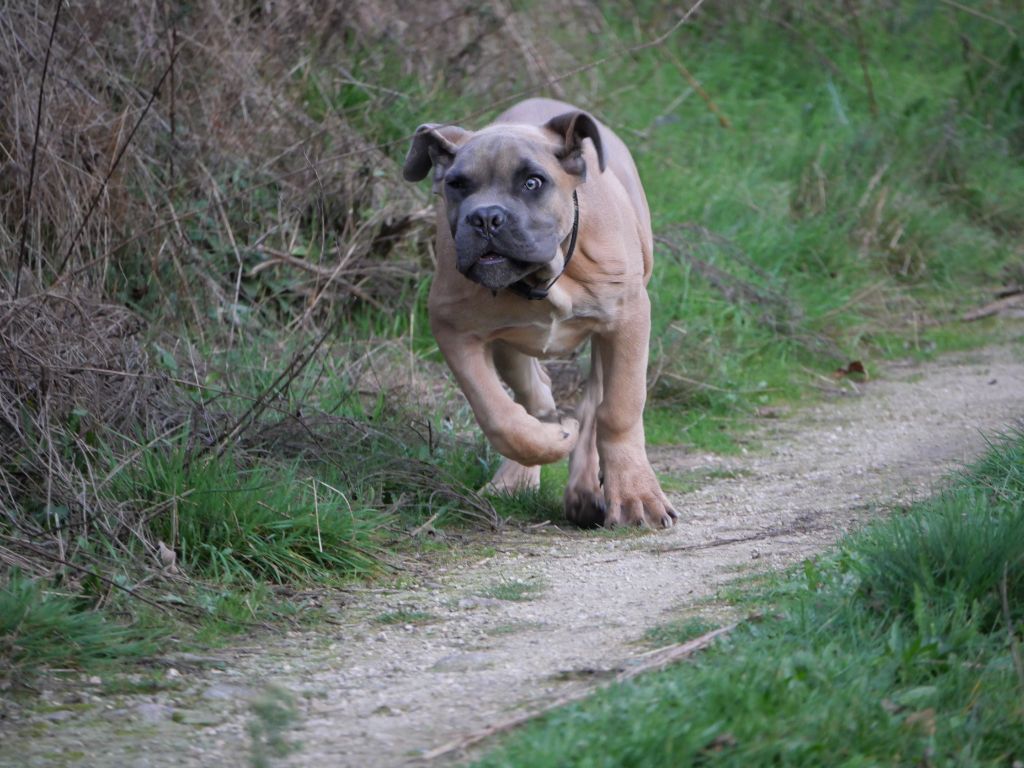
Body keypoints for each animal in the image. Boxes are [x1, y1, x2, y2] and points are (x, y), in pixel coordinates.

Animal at [403, 97, 675, 528]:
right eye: (457, 185)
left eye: (532, 182)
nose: (485, 218)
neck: (543, 278)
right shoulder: (453, 329)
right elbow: (498, 414)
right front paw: (550, 440)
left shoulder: (628, 319)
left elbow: (619, 408)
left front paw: (636, 496)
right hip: (508, 344)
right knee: (536, 395)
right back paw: (524, 469)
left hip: (608, 331)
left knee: (593, 403)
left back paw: (585, 490)